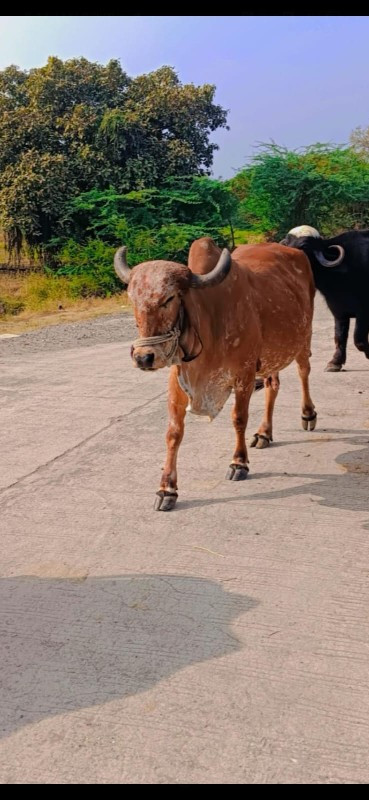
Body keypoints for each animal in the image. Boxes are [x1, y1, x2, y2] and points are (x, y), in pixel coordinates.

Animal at [113, 239, 314, 512]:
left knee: (304, 372)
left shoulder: (244, 376)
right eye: (132, 299)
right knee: (273, 384)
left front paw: (239, 463)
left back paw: (308, 414)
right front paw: (167, 488)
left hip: (303, 338)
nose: (144, 357)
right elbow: (173, 432)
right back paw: (264, 433)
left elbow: (239, 418)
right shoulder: (178, 382)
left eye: (169, 299)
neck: (209, 320)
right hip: (272, 357)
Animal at [278, 225, 368, 372]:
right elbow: (339, 336)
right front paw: (335, 362)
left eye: (304, 246)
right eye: (286, 244)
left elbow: (358, 339)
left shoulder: (363, 311)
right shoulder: (338, 310)